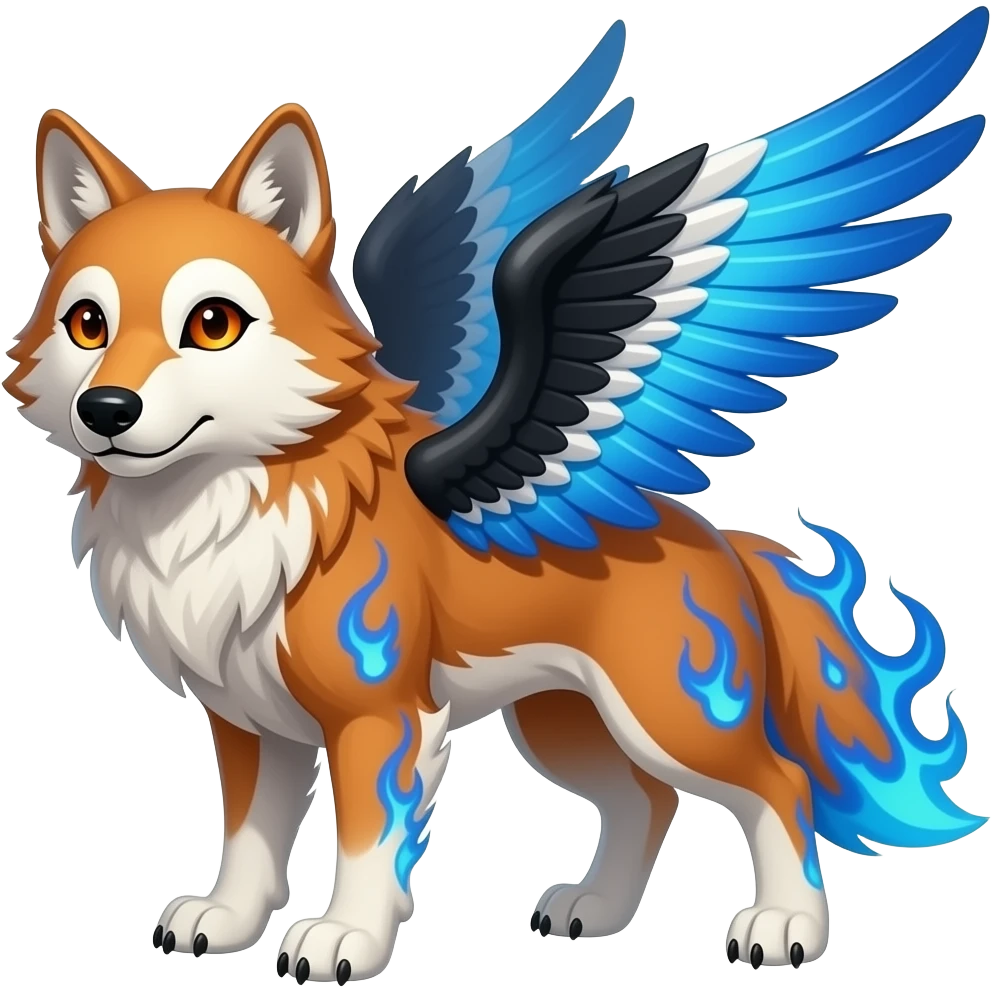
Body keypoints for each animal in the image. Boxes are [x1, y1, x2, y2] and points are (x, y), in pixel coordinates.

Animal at [4, 10, 988, 983]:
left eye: (212, 324)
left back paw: (784, 927)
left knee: (778, 786)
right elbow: (249, 837)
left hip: (669, 714)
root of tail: (716, 541)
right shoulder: (252, 721)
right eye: (86, 324)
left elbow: (366, 844)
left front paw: (345, 939)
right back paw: (598, 911)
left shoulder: (380, 718)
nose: (106, 409)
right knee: (646, 801)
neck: (229, 509)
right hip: (565, 725)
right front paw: (226, 920)